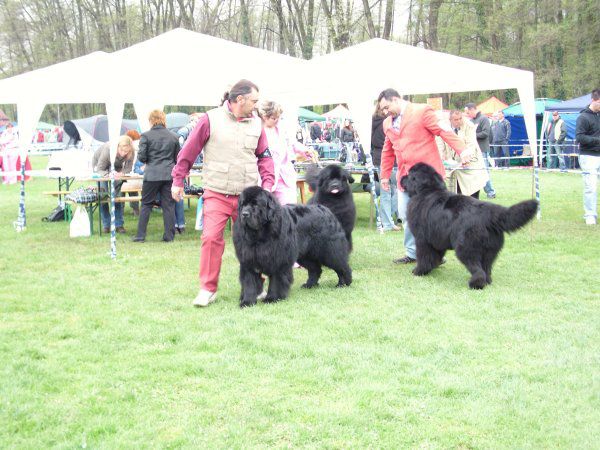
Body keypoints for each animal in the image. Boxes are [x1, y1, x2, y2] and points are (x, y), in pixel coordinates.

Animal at [400, 163, 536, 290]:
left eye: (408, 175)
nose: (401, 178)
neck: (427, 191)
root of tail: (490, 213)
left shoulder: (422, 239)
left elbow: (424, 256)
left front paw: (419, 271)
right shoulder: (437, 238)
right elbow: (435, 255)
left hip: (466, 247)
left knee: (477, 269)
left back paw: (475, 284)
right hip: (490, 250)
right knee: (486, 268)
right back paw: (487, 282)